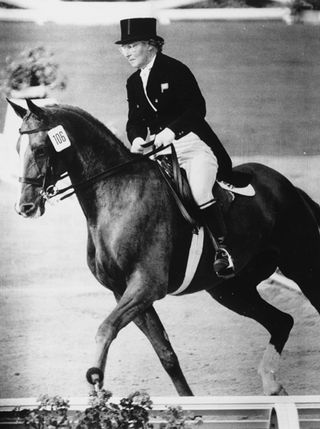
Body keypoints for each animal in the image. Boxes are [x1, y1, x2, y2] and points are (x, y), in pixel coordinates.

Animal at [8, 99, 320, 394]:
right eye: (17, 148)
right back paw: (272, 386)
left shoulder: (146, 285)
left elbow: (105, 328)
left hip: (303, 267)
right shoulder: (123, 291)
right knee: (282, 321)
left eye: (40, 150)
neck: (116, 194)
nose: (25, 207)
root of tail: (286, 185)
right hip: (230, 290)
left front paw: (96, 381)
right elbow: (166, 354)